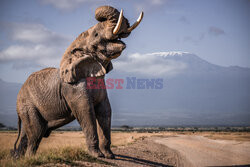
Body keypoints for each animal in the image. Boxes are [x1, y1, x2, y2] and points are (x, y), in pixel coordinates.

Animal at [10, 5, 143, 159]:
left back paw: (18, 159)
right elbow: (86, 111)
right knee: (36, 134)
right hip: (27, 106)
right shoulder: (73, 86)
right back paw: (29, 158)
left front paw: (110, 156)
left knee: (27, 135)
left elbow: (105, 111)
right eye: (96, 35)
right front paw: (98, 155)